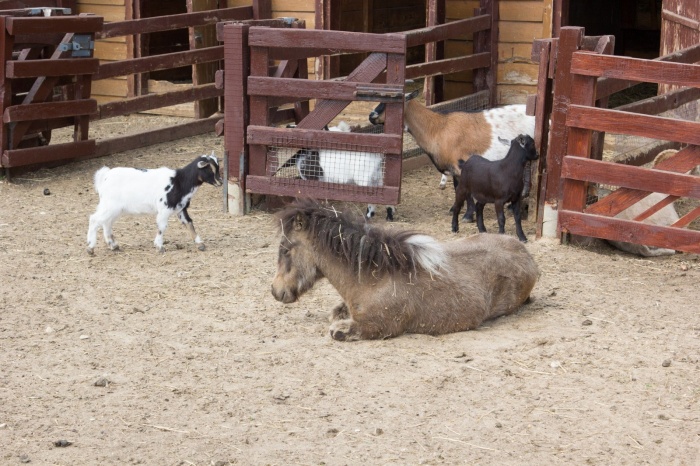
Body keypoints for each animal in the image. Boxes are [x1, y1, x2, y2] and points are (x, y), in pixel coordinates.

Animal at [86, 152, 221, 255]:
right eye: (210, 169)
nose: (220, 182)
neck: (179, 181)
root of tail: (105, 176)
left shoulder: (181, 208)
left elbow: (189, 223)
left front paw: (200, 244)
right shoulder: (164, 209)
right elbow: (162, 227)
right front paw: (159, 246)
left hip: (114, 208)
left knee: (106, 222)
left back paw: (113, 245)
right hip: (110, 206)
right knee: (94, 219)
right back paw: (90, 248)